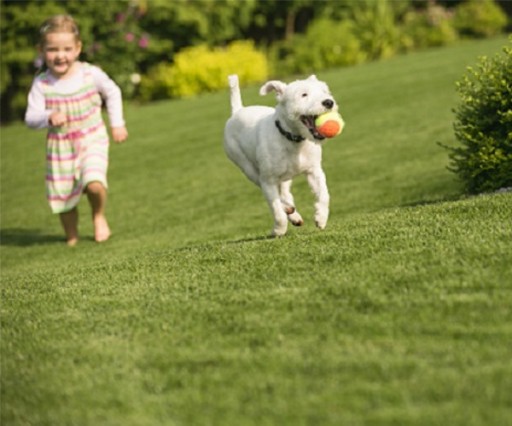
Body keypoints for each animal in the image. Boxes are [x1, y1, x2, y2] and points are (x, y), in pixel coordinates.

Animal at [226, 75, 342, 238]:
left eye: (324, 91)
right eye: (303, 95)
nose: (328, 102)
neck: (293, 140)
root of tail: (237, 111)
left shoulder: (314, 171)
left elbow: (324, 194)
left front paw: (321, 218)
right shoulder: (268, 180)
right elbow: (276, 209)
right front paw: (279, 230)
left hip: (285, 177)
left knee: (286, 193)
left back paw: (294, 215)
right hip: (247, 167)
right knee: (268, 189)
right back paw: (288, 210)